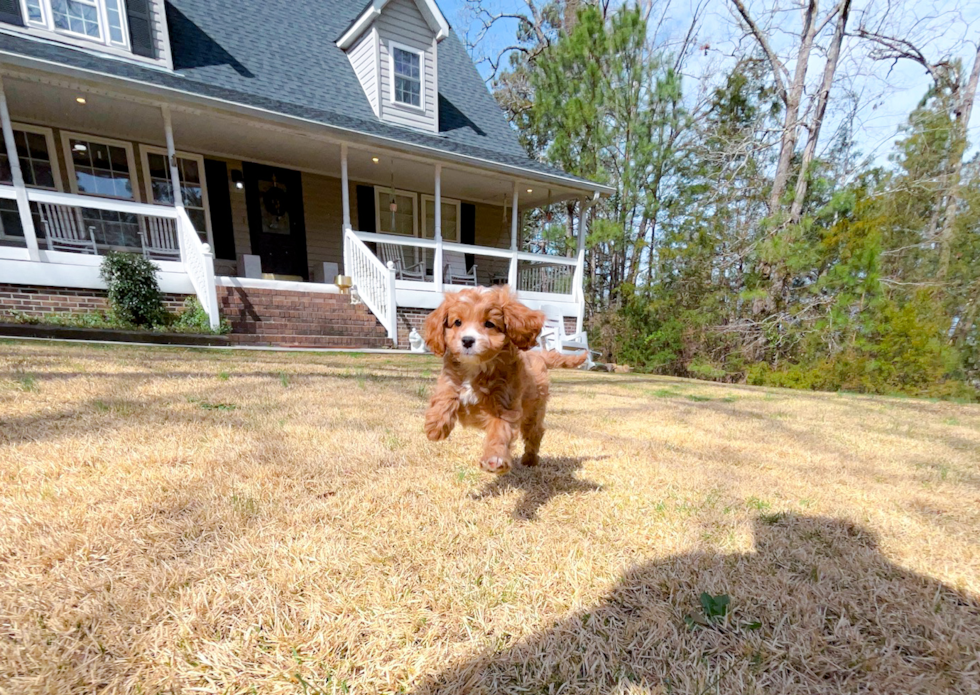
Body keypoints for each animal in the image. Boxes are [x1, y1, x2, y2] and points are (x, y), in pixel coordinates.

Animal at [420, 286, 580, 476]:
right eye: (457, 322)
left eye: (489, 324)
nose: (467, 340)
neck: (476, 367)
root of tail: (538, 355)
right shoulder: (450, 378)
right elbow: (445, 395)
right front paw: (436, 426)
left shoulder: (505, 404)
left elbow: (500, 431)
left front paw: (494, 459)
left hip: (533, 411)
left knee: (535, 434)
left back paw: (530, 459)